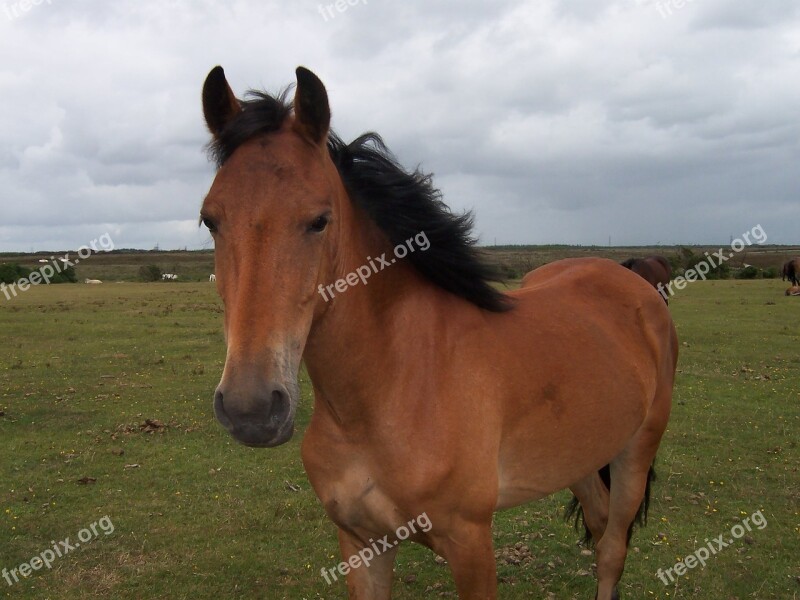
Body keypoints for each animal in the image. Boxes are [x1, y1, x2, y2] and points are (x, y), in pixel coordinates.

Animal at [198, 65, 676, 600]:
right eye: (210, 220)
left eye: (319, 220)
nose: (252, 409)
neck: (389, 391)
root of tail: (634, 282)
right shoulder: (362, 543)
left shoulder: (470, 545)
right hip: (580, 452)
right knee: (597, 521)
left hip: (635, 451)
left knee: (612, 548)